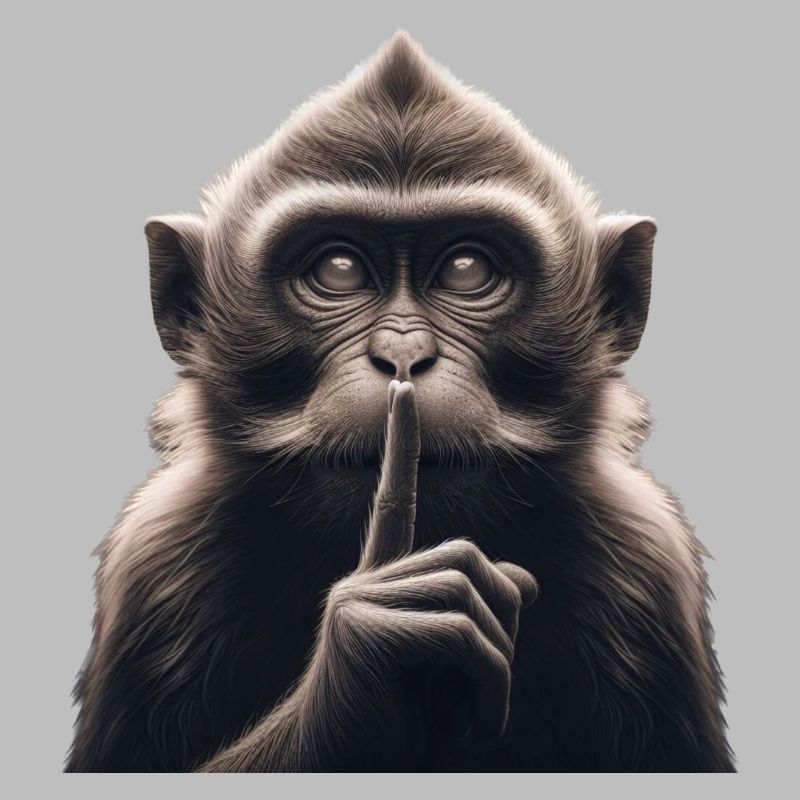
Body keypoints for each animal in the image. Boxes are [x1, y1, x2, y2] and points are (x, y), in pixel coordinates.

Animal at [66, 32, 734, 772]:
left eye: (468, 270)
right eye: (338, 270)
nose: (403, 354)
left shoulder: (648, 562)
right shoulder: (155, 560)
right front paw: (372, 650)